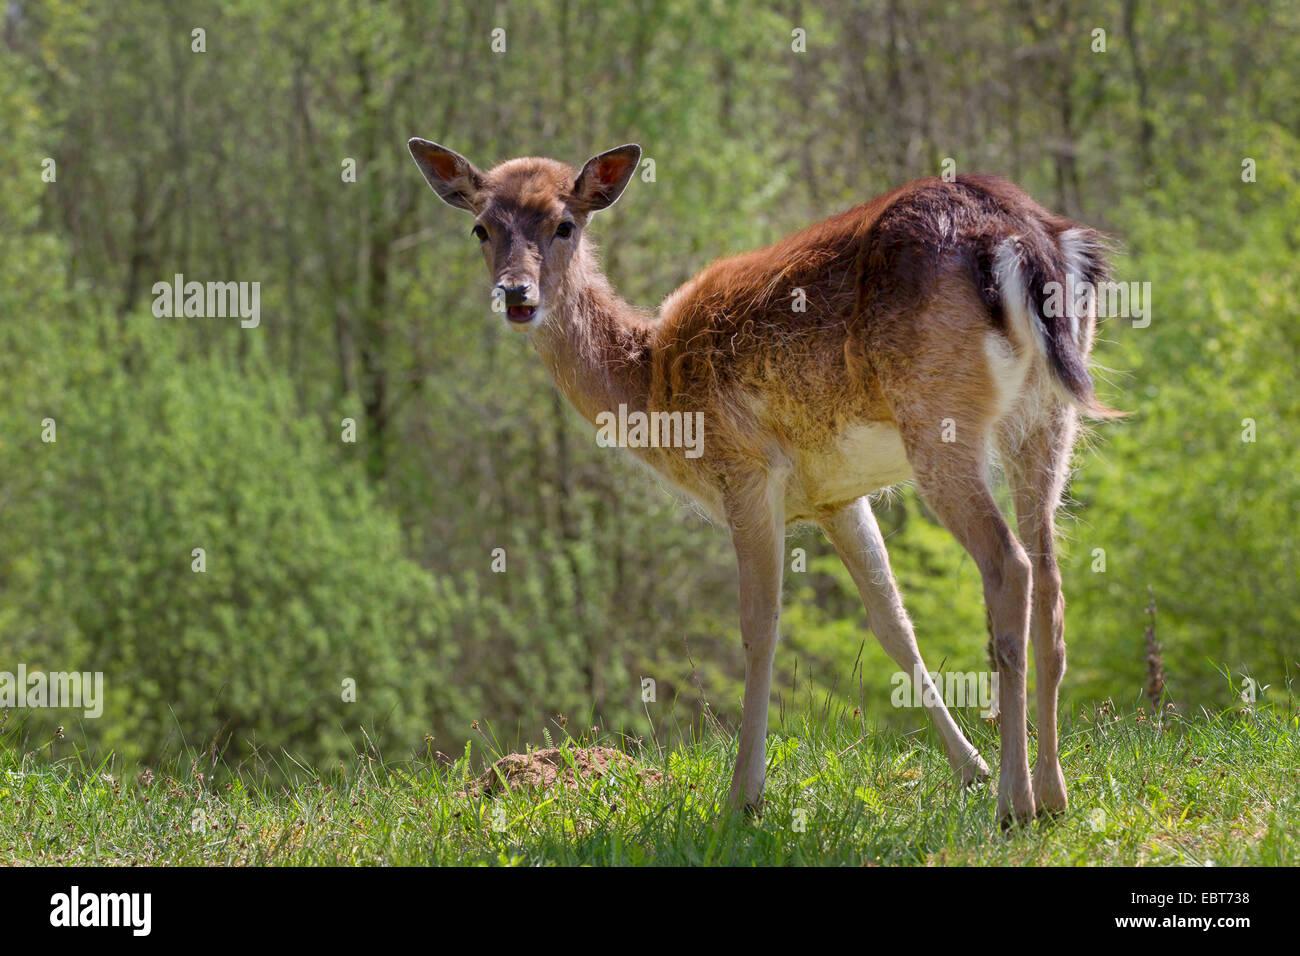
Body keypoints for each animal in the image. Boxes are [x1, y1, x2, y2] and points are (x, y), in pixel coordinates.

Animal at [407, 137, 1115, 827]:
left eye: (565, 224)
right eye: (480, 228)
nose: (517, 295)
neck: (654, 386)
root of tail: (1028, 239)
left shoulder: (743, 468)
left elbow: (759, 627)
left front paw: (742, 798)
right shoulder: (835, 495)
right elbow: (893, 624)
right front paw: (969, 768)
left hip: (939, 418)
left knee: (1010, 565)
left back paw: (1016, 804)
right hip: (1048, 417)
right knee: (1050, 574)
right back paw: (1053, 795)